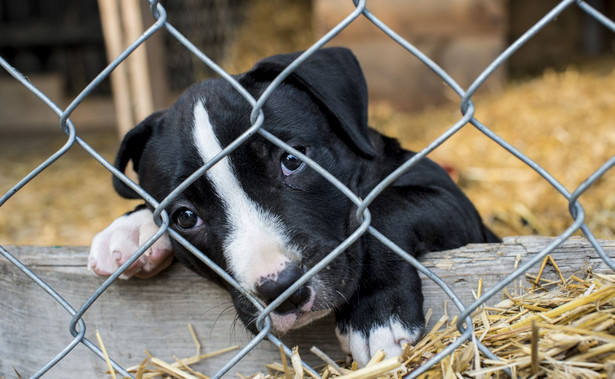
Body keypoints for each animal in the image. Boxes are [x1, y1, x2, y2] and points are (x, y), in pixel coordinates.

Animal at [88, 46, 500, 366]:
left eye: (291, 160)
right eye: (185, 217)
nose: (281, 288)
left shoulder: (455, 205)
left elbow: (386, 209)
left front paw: (376, 315)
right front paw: (131, 229)